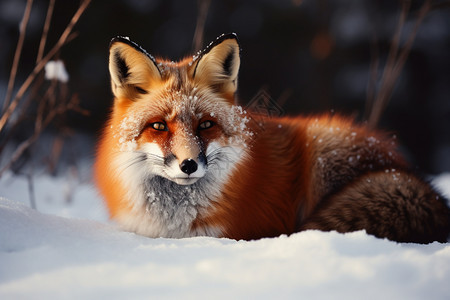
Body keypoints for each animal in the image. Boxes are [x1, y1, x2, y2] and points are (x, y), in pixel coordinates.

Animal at [94, 32, 450, 244]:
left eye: (206, 124)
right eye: (158, 127)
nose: (189, 165)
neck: (174, 223)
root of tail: (401, 169)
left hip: (322, 151)